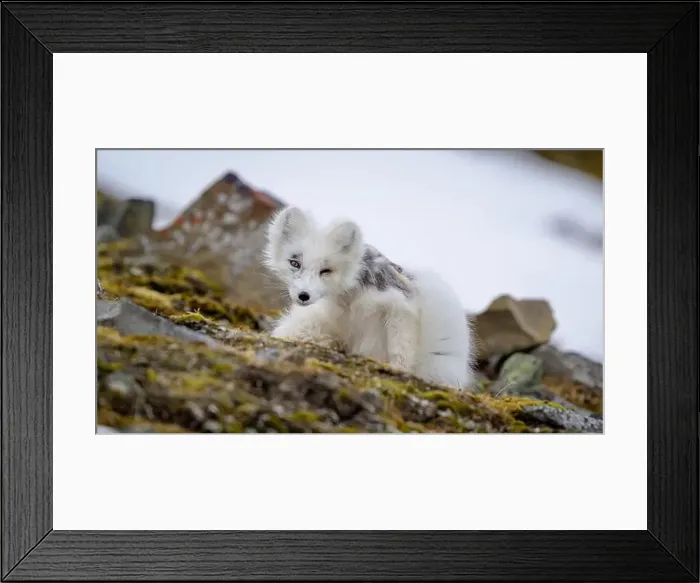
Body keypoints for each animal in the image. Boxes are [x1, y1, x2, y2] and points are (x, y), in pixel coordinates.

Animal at [263, 206, 474, 390]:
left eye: (326, 271)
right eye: (294, 263)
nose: (303, 295)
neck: (350, 301)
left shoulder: (401, 306)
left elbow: (401, 351)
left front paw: (399, 371)